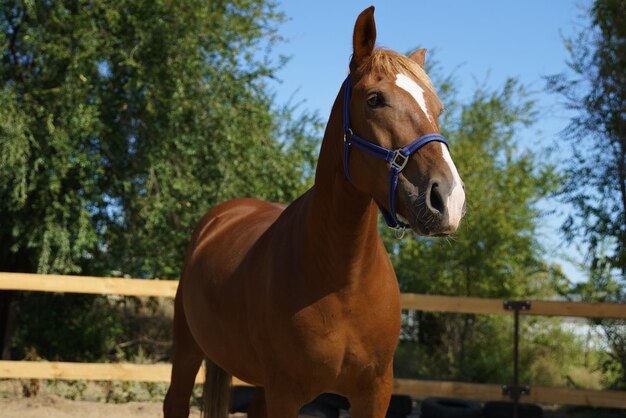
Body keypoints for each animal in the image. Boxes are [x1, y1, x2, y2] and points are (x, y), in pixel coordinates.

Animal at [163, 6, 466, 418]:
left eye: (438, 109)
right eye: (375, 99)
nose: (448, 198)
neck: (343, 280)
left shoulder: (375, 393)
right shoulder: (285, 393)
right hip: (188, 350)